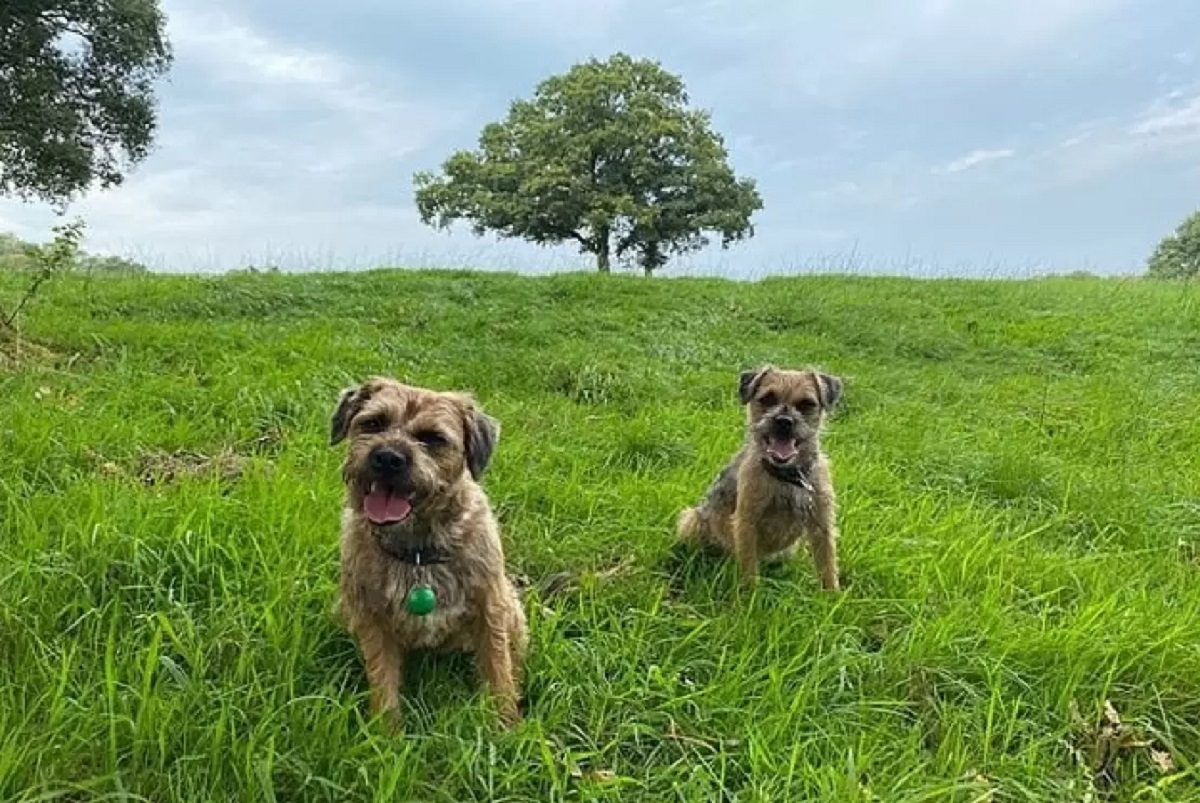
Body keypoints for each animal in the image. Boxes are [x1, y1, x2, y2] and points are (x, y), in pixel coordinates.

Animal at [333, 376, 530, 724]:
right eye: (373, 423)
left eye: (433, 439)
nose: (388, 458)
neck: (418, 552)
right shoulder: (371, 618)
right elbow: (382, 676)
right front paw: (386, 730)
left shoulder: (490, 607)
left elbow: (497, 667)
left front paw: (506, 723)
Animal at [676, 362, 844, 588]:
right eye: (767, 399)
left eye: (806, 404)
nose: (784, 421)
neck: (789, 476)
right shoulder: (746, 522)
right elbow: (748, 566)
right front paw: (750, 595)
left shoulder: (822, 523)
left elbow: (828, 565)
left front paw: (831, 595)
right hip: (691, 519)